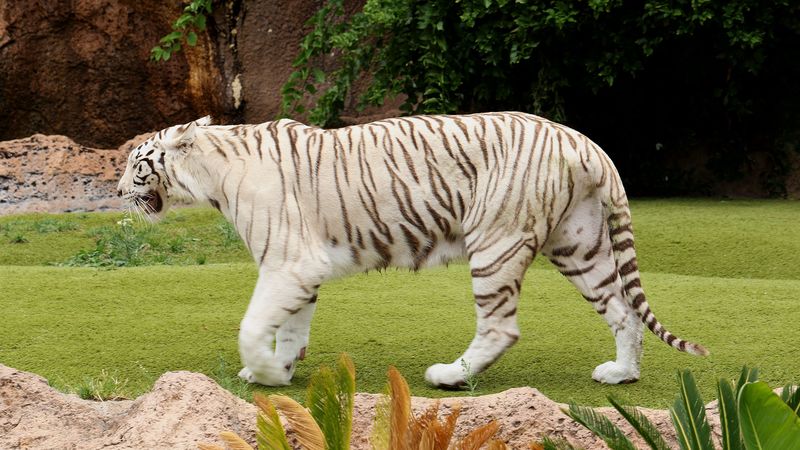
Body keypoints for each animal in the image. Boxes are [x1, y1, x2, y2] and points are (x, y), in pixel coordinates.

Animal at [117, 112, 707, 388]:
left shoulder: (288, 262)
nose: (117, 189)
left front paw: (264, 373)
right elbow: (291, 326)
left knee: (501, 327)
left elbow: (252, 324)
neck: (212, 169)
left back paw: (450, 375)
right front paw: (279, 369)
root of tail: (585, 142)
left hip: (495, 242)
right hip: (579, 244)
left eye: (137, 163)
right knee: (623, 310)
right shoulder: (301, 268)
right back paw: (621, 373)